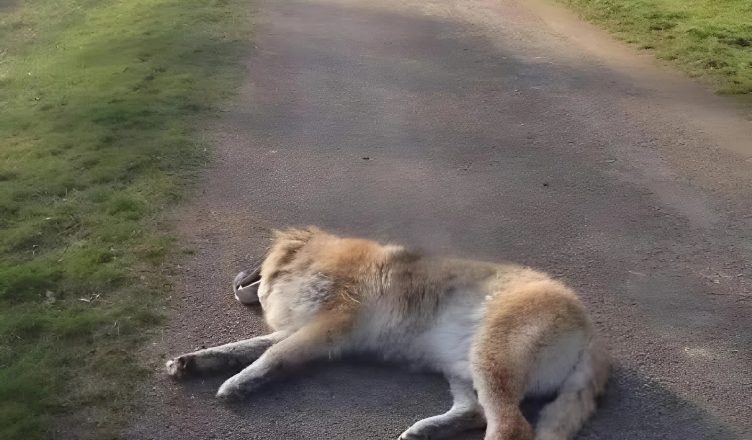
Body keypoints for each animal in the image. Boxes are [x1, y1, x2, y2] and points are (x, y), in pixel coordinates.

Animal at [166, 226, 609, 440]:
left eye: (256, 262)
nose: (235, 276)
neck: (309, 261)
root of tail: (591, 334)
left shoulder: (327, 328)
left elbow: (267, 356)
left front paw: (237, 383)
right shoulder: (303, 331)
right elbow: (240, 349)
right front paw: (196, 362)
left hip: (491, 358)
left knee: (511, 427)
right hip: (463, 367)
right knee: (475, 412)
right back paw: (426, 431)